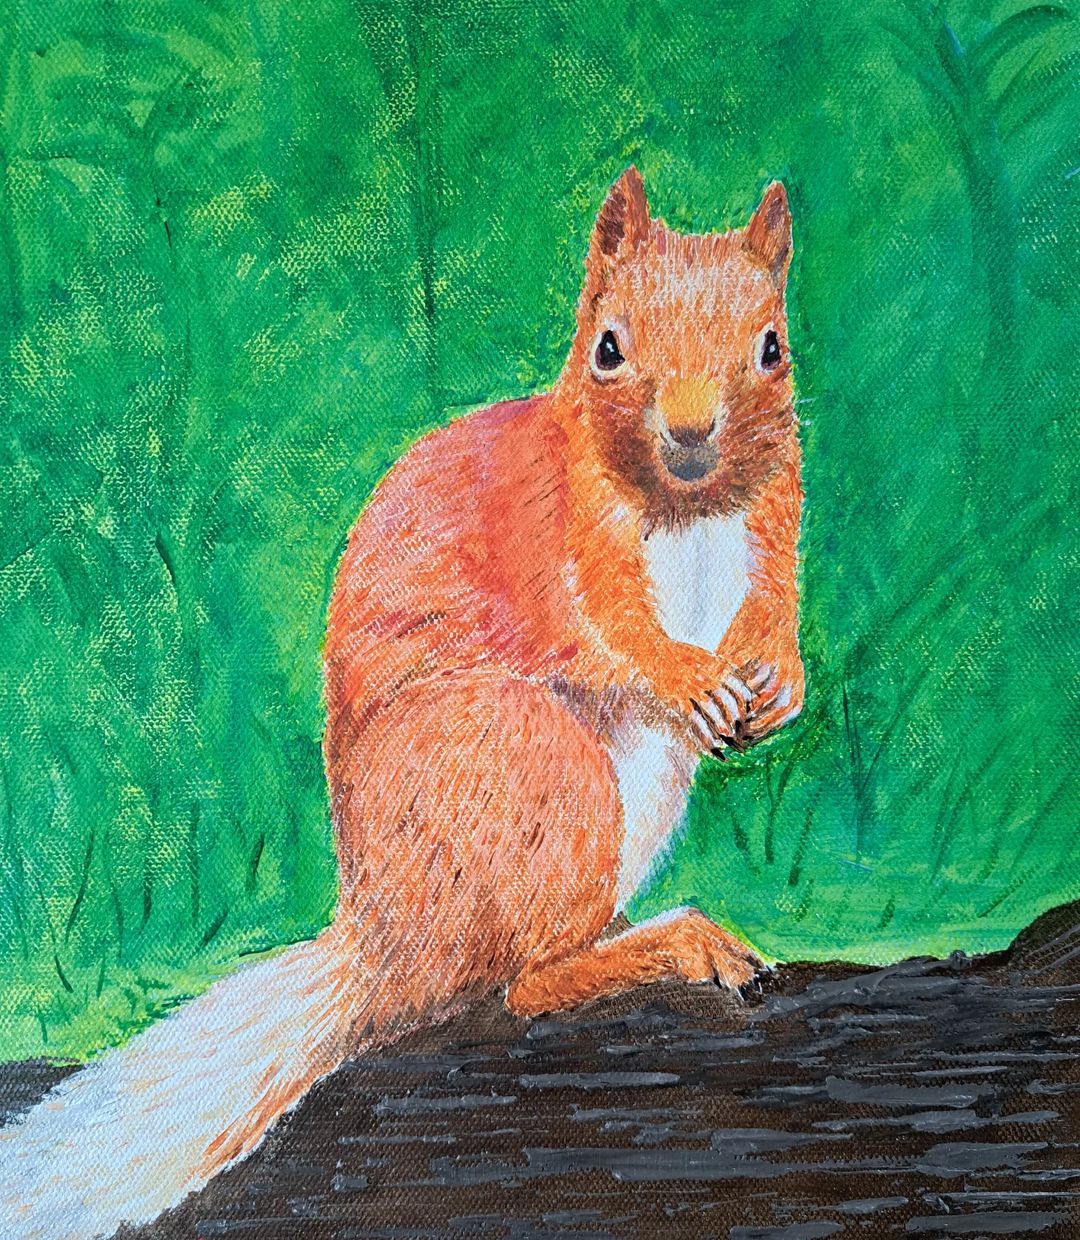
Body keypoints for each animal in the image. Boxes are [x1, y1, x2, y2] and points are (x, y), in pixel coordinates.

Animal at [0, 167, 803, 1239]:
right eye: (608, 347)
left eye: (772, 347)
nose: (688, 434)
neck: (688, 509)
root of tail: (386, 943)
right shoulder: (561, 543)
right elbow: (611, 638)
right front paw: (689, 677)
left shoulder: (775, 521)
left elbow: (779, 608)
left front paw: (781, 682)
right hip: (530, 760)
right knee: (526, 984)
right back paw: (670, 943)